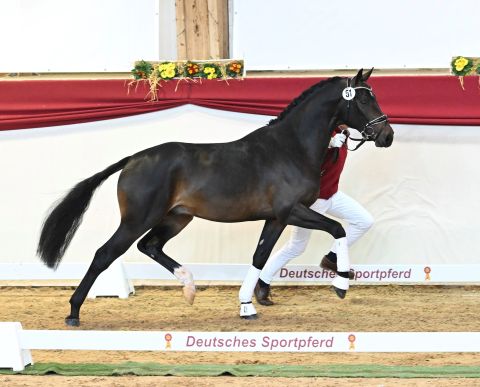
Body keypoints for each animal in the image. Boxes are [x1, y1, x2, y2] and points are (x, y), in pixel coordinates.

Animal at [37, 68, 394, 326]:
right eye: (364, 101)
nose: (387, 135)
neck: (289, 148)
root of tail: (134, 159)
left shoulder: (275, 218)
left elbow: (260, 257)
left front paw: (248, 306)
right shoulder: (291, 210)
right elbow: (338, 229)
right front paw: (341, 284)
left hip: (177, 217)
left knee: (149, 246)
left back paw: (189, 286)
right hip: (138, 218)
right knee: (105, 254)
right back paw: (73, 313)